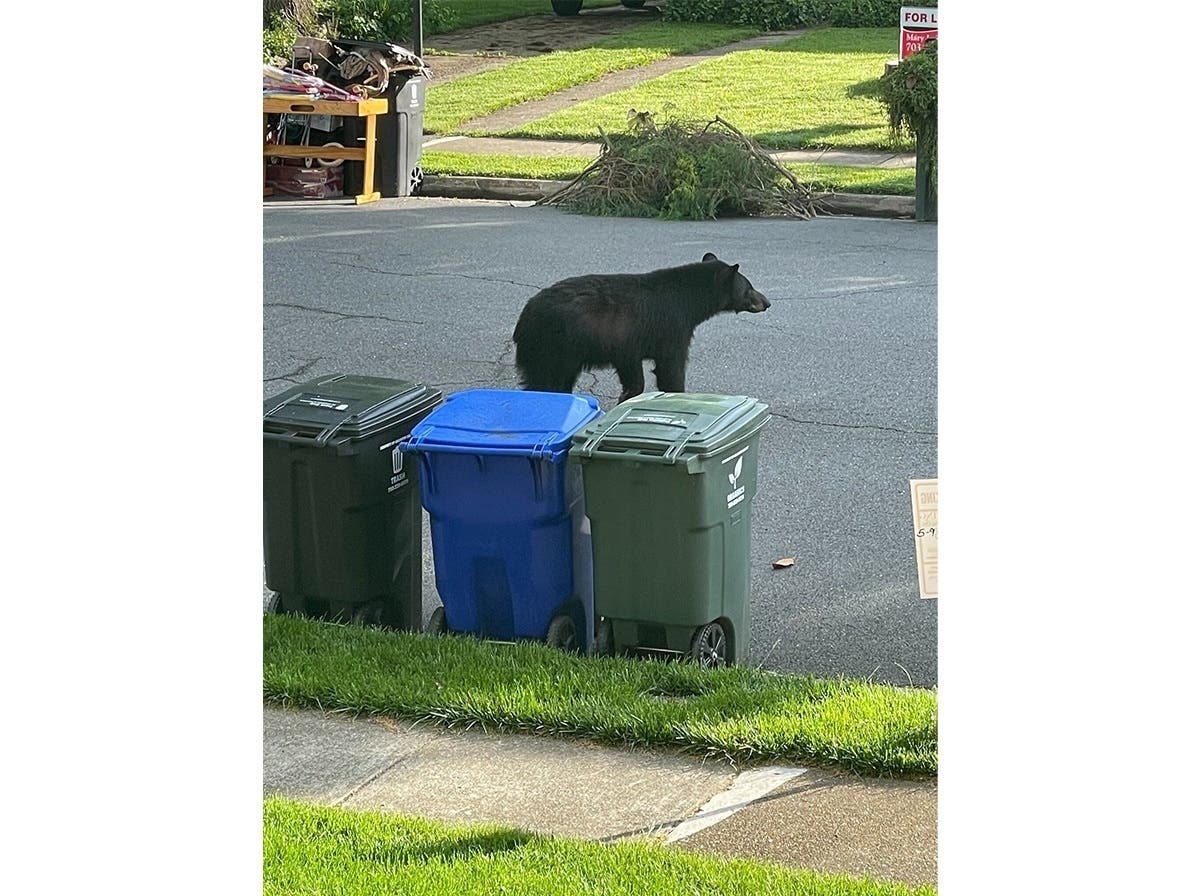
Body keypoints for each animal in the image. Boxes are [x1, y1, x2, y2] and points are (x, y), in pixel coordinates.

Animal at [512, 253, 770, 403]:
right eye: (749, 287)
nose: (767, 302)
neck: (687, 299)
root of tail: (524, 317)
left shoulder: (627, 344)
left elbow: (633, 374)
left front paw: (627, 397)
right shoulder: (672, 327)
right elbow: (671, 366)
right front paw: (677, 393)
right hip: (553, 346)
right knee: (544, 379)